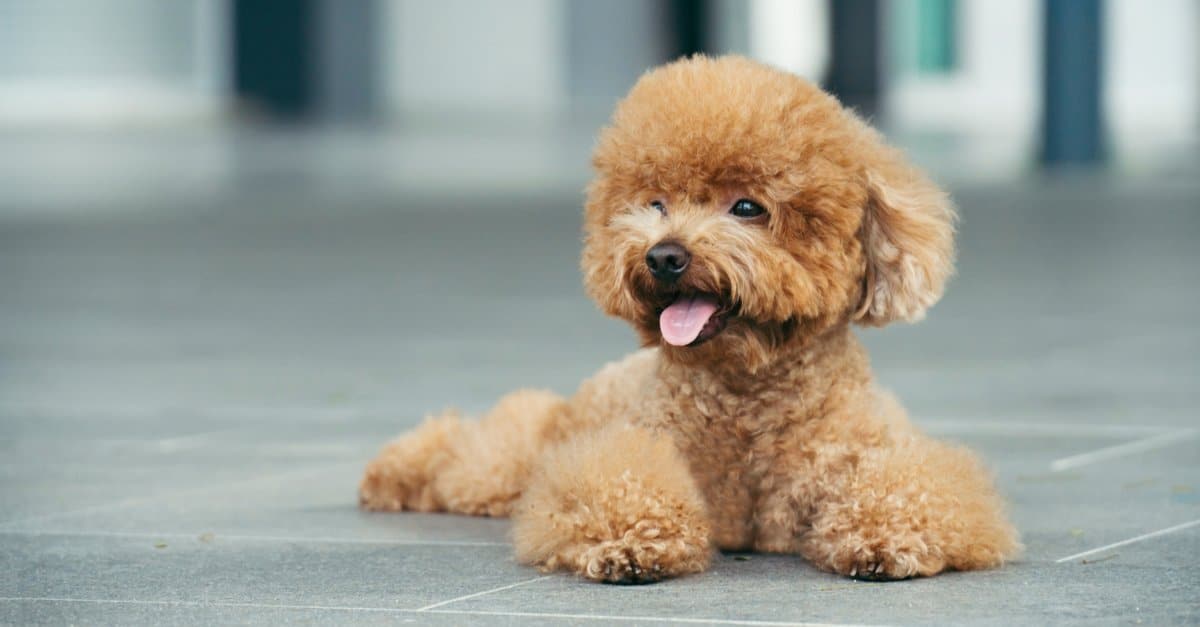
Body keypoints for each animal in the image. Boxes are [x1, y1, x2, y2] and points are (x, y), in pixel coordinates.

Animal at [360, 53, 1017, 581]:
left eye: (747, 207)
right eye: (655, 203)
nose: (664, 255)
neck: (747, 398)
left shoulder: (869, 458)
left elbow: (910, 490)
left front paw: (886, 539)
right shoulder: (630, 456)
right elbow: (620, 488)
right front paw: (631, 544)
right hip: (520, 455)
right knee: (474, 447)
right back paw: (391, 474)